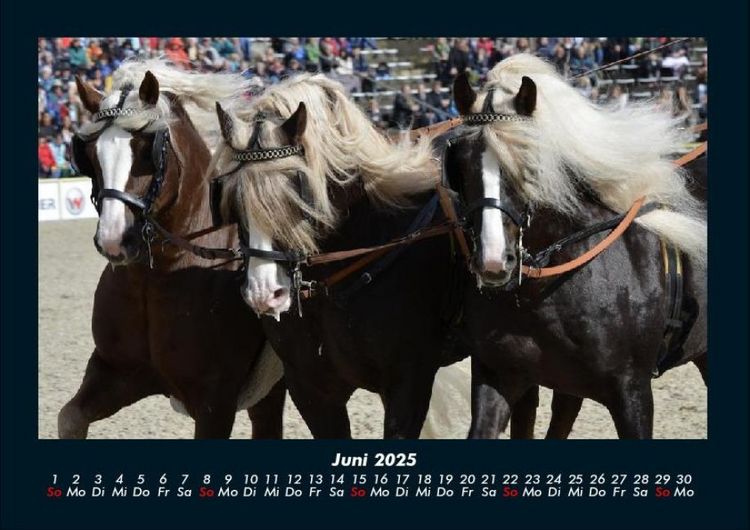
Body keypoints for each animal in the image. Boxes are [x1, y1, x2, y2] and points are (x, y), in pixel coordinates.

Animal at [58, 60, 285, 439]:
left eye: (147, 148)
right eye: (89, 154)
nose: (114, 239)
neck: (156, 278)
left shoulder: (215, 402)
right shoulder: (116, 373)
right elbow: (70, 418)